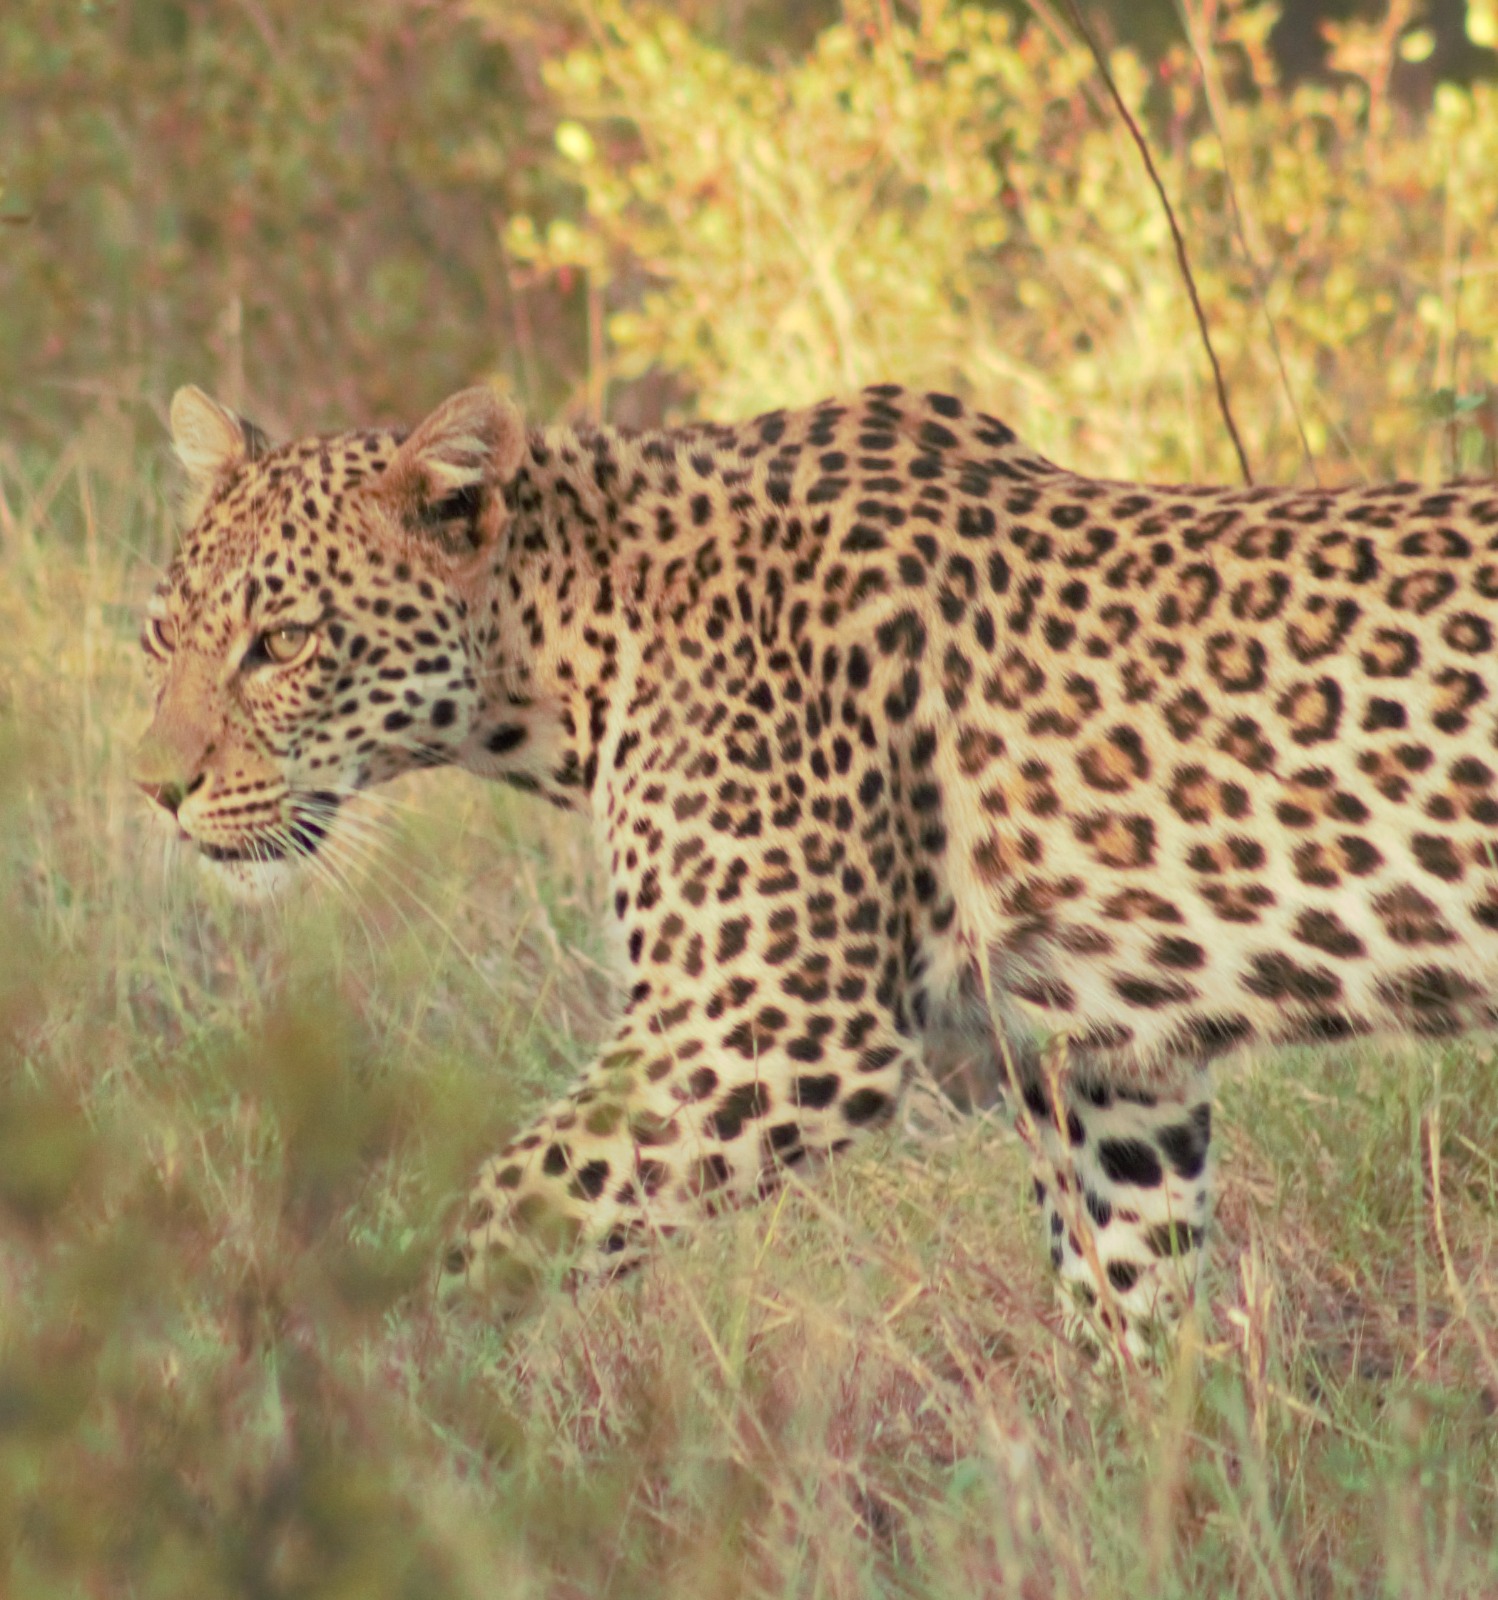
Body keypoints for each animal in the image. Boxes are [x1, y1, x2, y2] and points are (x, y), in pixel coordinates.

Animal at [135, 378, 1498, 1361]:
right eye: (163, 633)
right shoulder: (1108, 1064)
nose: (156, 790)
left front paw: (361, 1394)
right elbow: (1126, 1311)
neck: (568, 651)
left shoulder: (765, 1022)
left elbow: (498, 1217)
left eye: (282, 644)